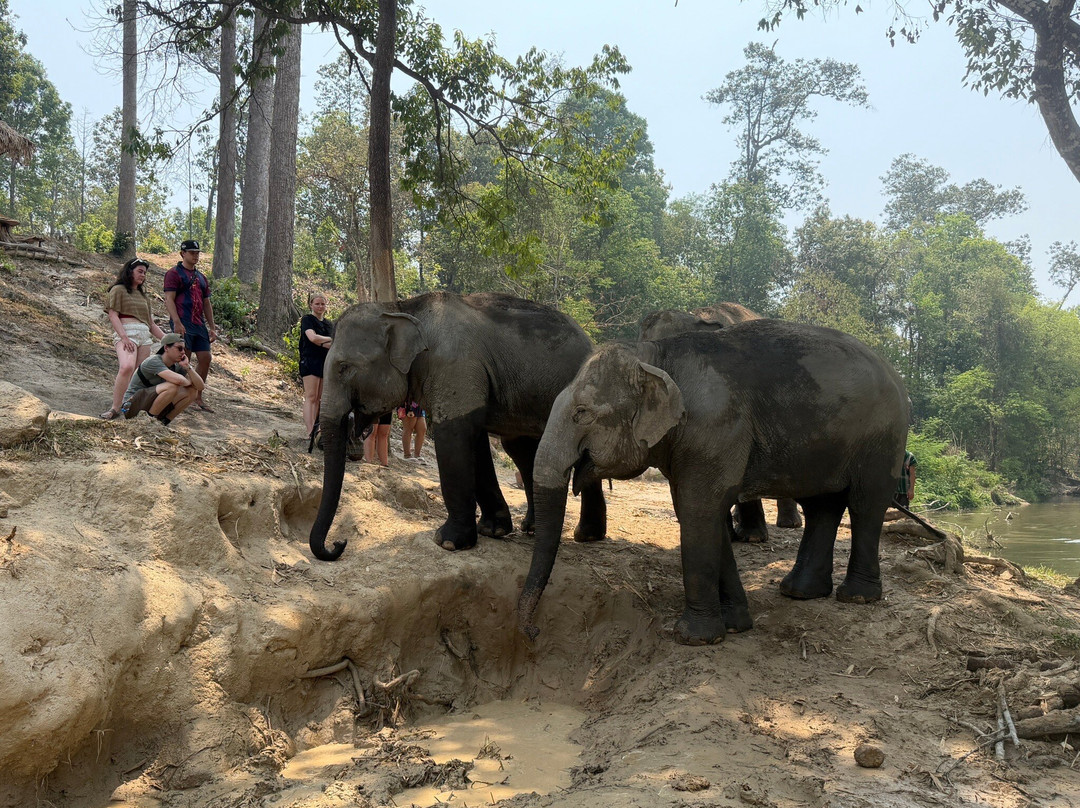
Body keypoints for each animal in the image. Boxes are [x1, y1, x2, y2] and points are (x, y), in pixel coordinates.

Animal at [309, 292, 607, 561]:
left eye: (344, 367)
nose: (339, 543)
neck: (401, 307)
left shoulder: (455, 367)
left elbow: (453, 437)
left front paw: (449, 542)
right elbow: (476, 444)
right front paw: (492, 530)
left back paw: (587, 535)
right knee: (522, 452)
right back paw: (536, 529)